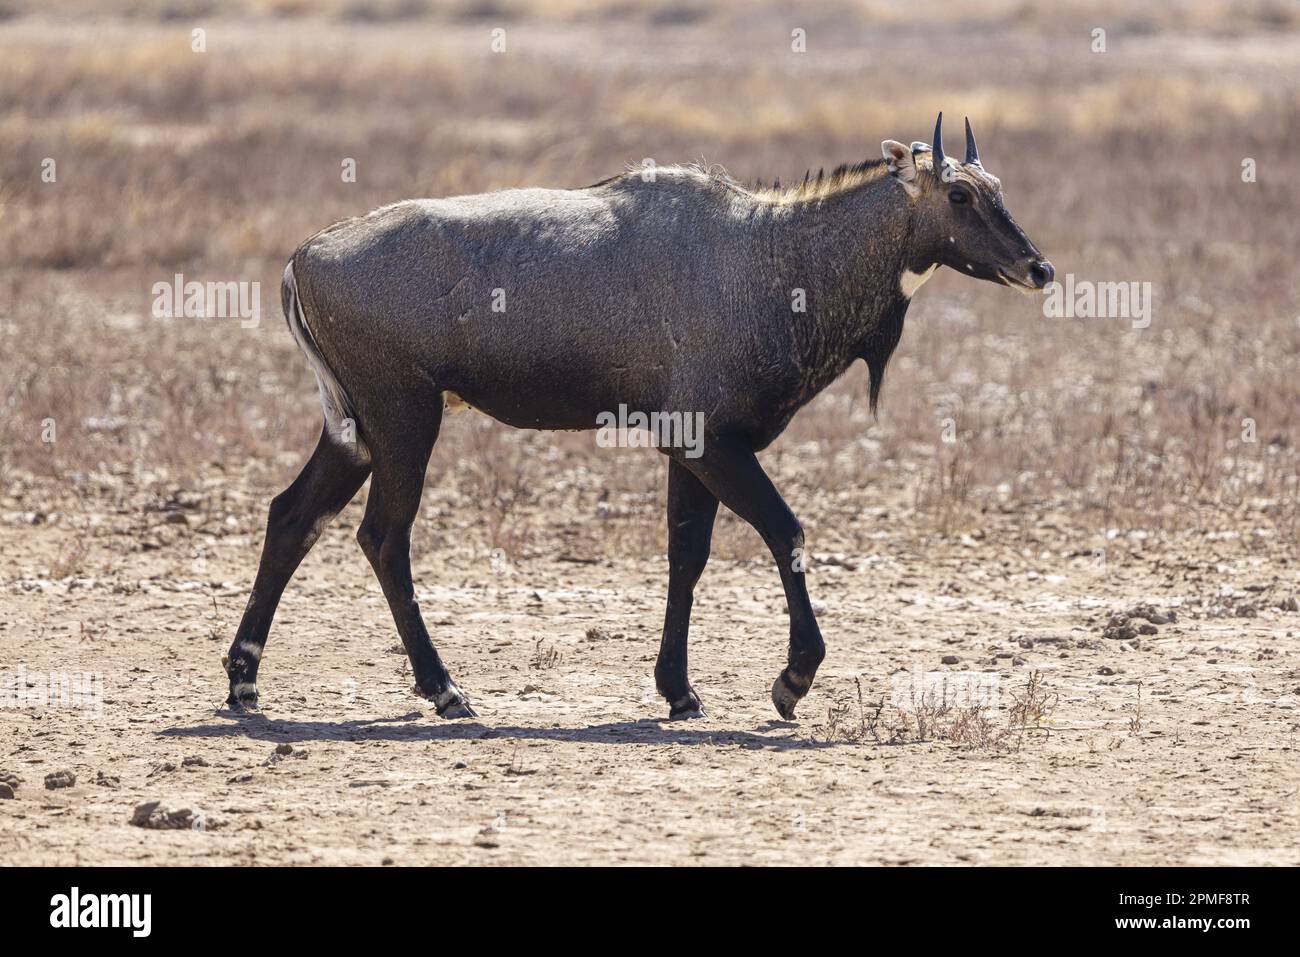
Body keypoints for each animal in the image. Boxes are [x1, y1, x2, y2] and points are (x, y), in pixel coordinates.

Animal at [226, 113, 1055, 717]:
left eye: (996, 185)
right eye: (958, 196)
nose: (1038, 267)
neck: (775, 256)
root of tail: (303, 258)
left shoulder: (688, 449)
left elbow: (686, 556)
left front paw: (680, 690)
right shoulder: (715, 443)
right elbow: (785, 531)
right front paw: (791, 680)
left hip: (357, 431)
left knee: (292, 514)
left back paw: (244, 679)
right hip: (405, 419)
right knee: (382, 536)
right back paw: (445, 689)